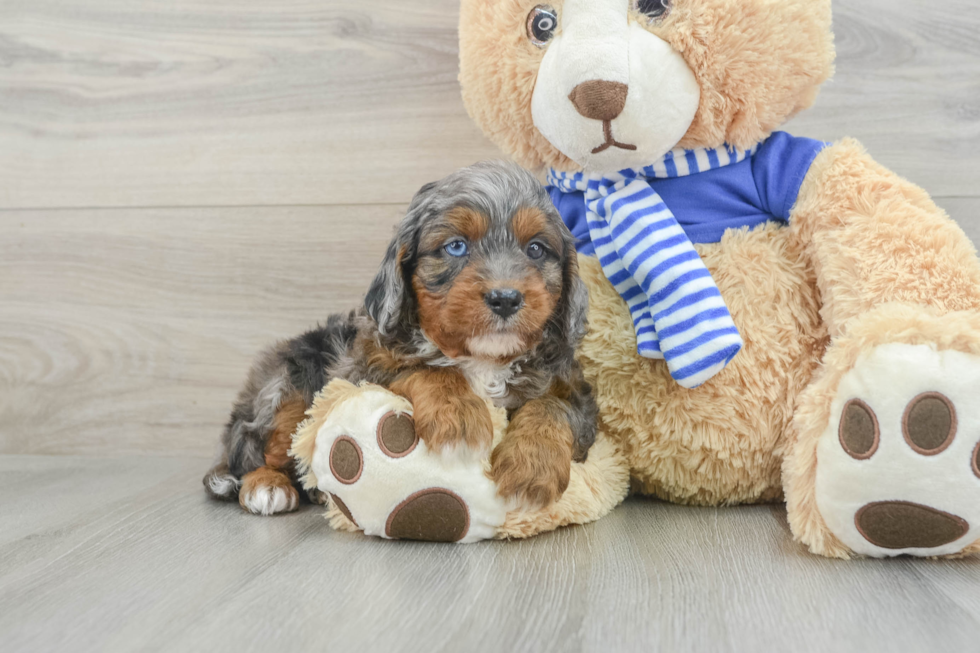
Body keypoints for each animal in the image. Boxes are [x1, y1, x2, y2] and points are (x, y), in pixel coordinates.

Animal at [207, 159, 596, 516]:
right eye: (456, 247)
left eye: (536, 249)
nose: (505, 298)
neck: (481, 358)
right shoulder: (360, 369)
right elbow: (426, 369)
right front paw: (459, 417)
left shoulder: (575, 391)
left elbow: (552, 407)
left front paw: (531, 470)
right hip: (288, 383)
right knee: (261, 450)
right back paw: (268, 485)